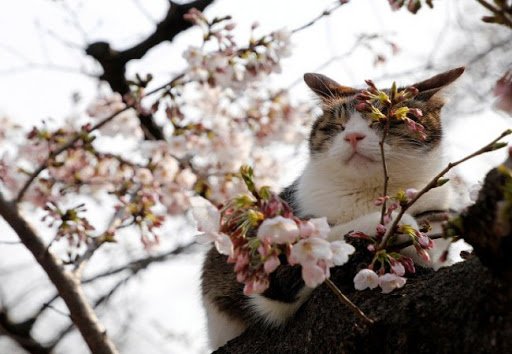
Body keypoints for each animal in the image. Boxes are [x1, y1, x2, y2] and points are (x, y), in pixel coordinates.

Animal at [202, 67, 466, 352]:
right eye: (338, 126)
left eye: (386, 121)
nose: (352, 136)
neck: (370, 193)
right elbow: (319, 239)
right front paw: (396, 224)